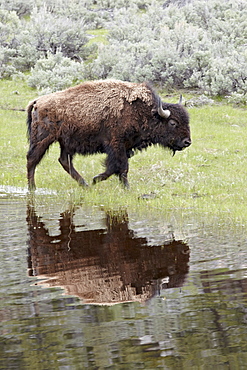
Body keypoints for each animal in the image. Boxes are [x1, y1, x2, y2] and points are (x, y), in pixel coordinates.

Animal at [26, 81, 190, 191]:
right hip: (43, 139)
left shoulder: (124, 147)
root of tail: (37, 102)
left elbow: (115, 167)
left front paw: (96, 180)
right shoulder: (116, 144)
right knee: (32, 159)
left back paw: (85, 184)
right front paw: (124, 187)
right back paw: (32, 188)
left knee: (64, 161)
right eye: (173, 123)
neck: (143, 112)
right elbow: (121, 167)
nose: (187, 142)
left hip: (65, 143)